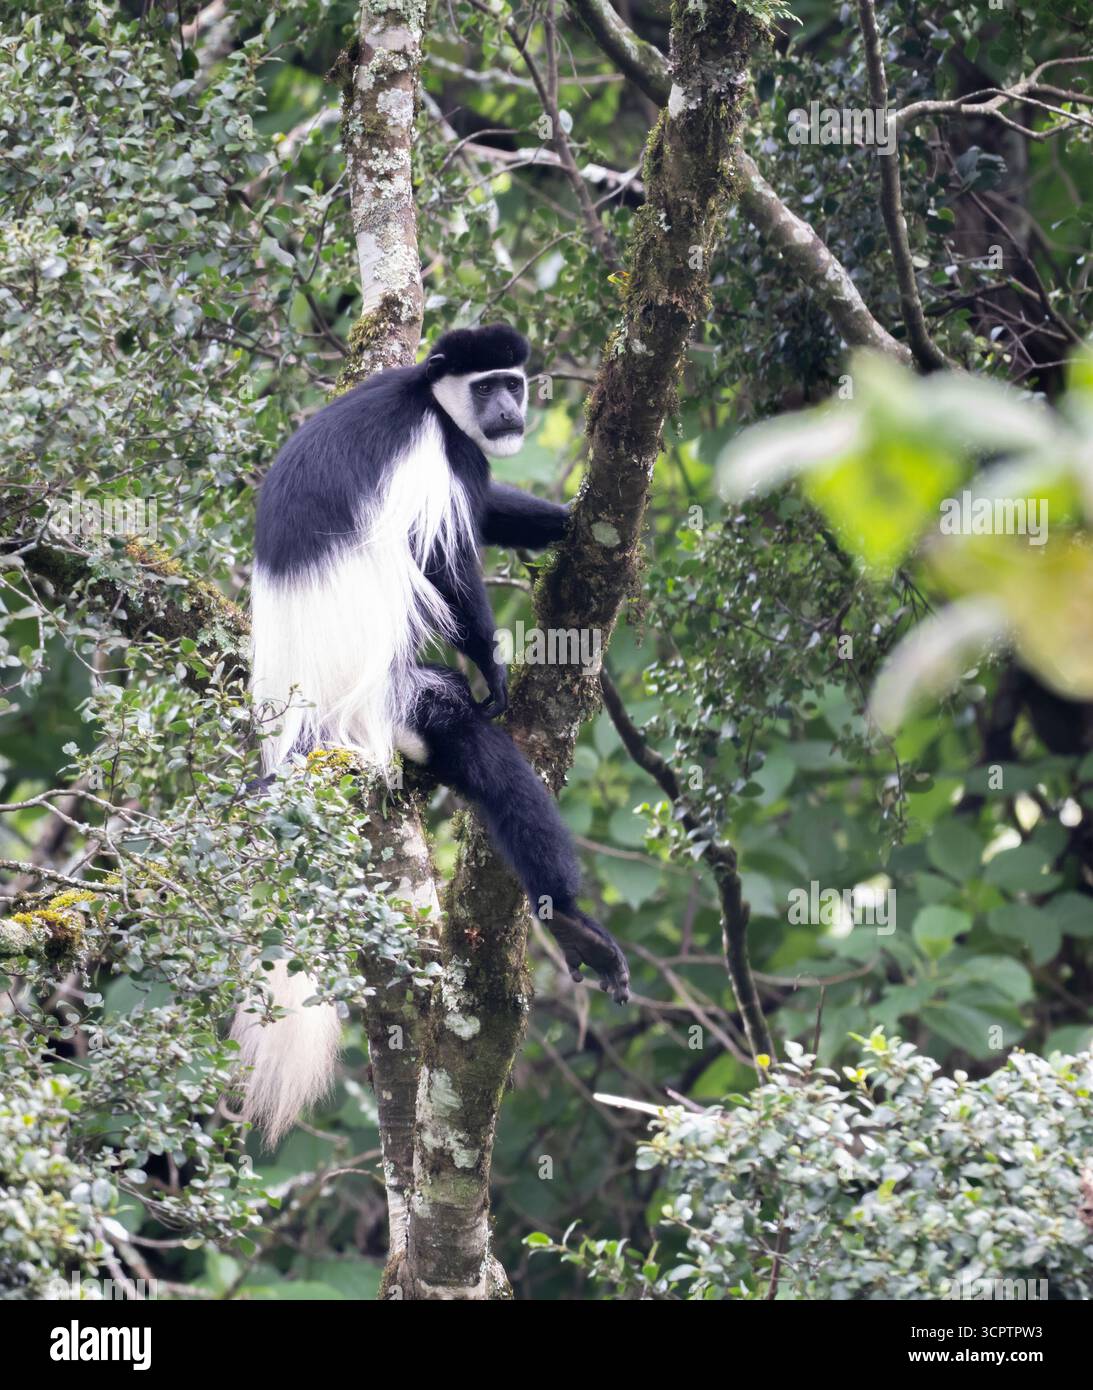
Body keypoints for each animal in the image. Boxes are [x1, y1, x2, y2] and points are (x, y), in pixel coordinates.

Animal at [234, 324, 630, 1144]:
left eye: (513, 381)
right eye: (487, 387)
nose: (509, 411)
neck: (426, 396)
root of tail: (298, 736)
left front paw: (561, 522)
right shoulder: (440, 460)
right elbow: (446, 559)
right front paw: (493, 669)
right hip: (390, 707)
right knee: (483, 754)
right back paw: (572, 921)